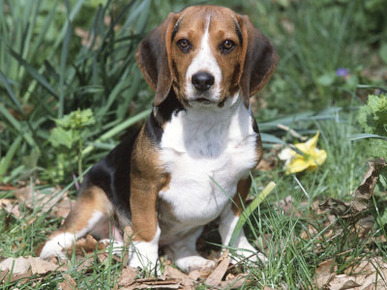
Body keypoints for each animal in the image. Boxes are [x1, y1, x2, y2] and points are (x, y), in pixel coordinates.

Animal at [39, 4, 278, 274]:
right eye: (183, 43)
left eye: (228, 44)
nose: (202, 81)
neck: (206, 121)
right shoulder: (146, 185)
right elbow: (148, 229)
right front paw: (145, 266)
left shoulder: (241, 181)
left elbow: (234, 224)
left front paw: (244, 254)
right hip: (94, 202)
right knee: (58, 236)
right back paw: (55, 255)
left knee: (179, 248)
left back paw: (194, 261)